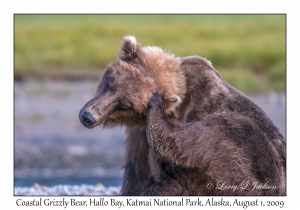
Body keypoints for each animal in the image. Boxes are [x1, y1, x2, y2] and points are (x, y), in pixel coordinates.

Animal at [79, 35, 286, 195]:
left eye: (125, 104)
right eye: (109, 83)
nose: (88, 116)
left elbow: (175, 176)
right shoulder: (139, 139)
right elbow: (136, 175)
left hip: (258, 161)